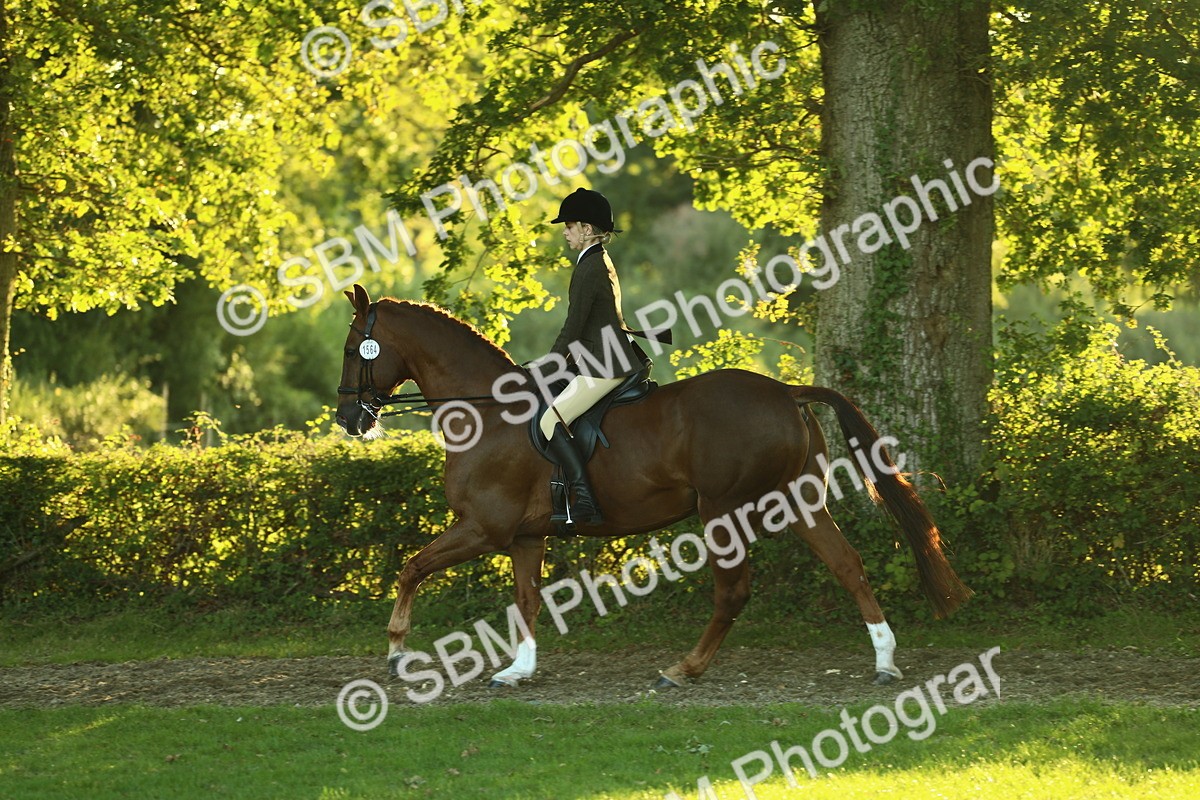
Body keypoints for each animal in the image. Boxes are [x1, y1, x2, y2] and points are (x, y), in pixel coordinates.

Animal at [335, 283, 971, 690]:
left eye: (351, 350)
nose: (348, 420)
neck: (488, 413)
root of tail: (785, 392)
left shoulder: (483, 528)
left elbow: (412, 568)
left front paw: (397, 652)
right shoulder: (523, 537)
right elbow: (526, 599)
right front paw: (518, 670)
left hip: (722, 510)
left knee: (734, 592)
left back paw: (683, 670)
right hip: (796, 500)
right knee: (847, 565)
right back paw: (884, 661)